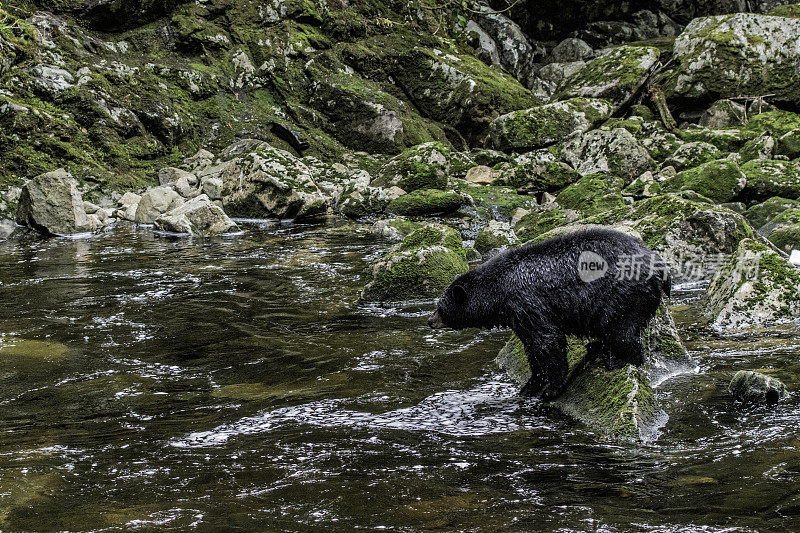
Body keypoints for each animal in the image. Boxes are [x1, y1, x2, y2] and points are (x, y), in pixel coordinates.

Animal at [432, 229, 668, 400]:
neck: (499, 289)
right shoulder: (518, 316)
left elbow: (548, 341)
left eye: (440, 307)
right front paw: (529, 385)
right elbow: (531, 347)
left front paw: (551, 389)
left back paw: (618, 360)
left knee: (621, 331)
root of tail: (659, 266)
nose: (430, 321)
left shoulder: (527, 302)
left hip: (623, 296)